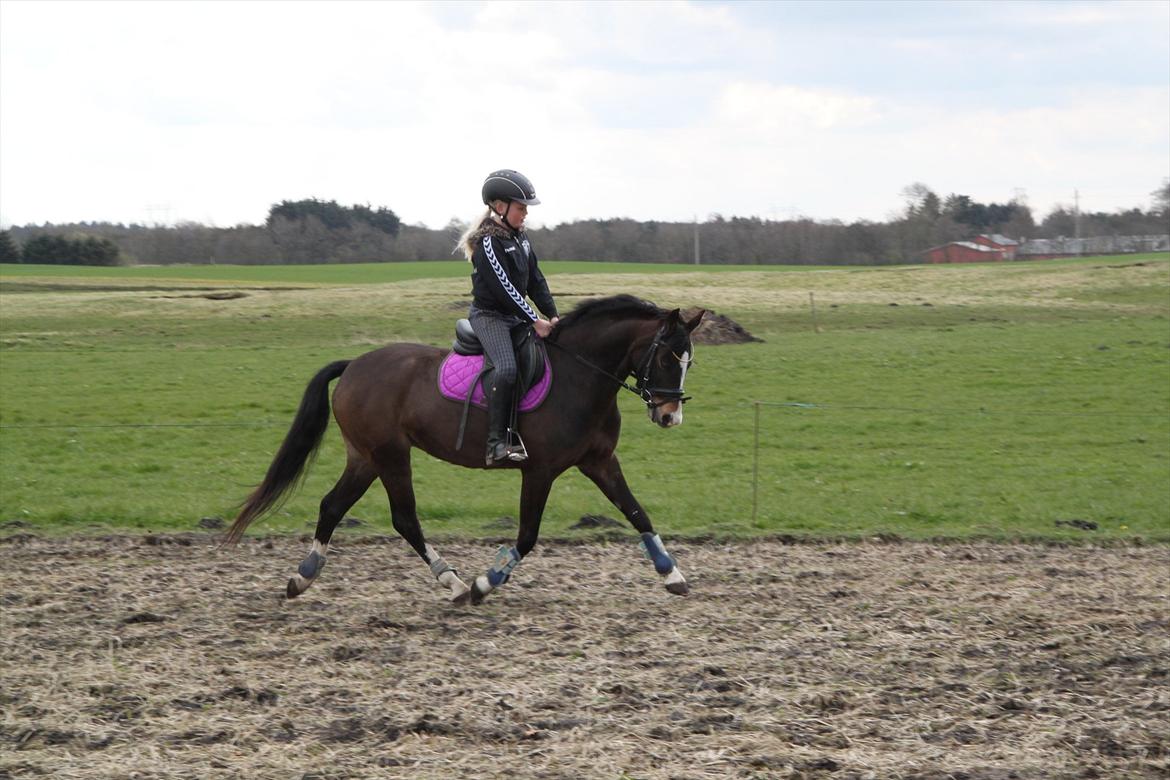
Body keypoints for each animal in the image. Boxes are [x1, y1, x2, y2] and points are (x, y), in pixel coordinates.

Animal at [226, 295, 702, 608]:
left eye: (689, 362)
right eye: (667, 358)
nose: (669, 416)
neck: (580, 376)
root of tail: (355, 365)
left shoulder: (599, 462)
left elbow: (638, 513)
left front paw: (672, 574)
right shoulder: (540, 471)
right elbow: (527, 536)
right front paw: (484, 583)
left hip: (365, 458)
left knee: (332, 505)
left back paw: (302, 577)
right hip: (390, 455)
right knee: (404, 518)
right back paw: (453, 583)